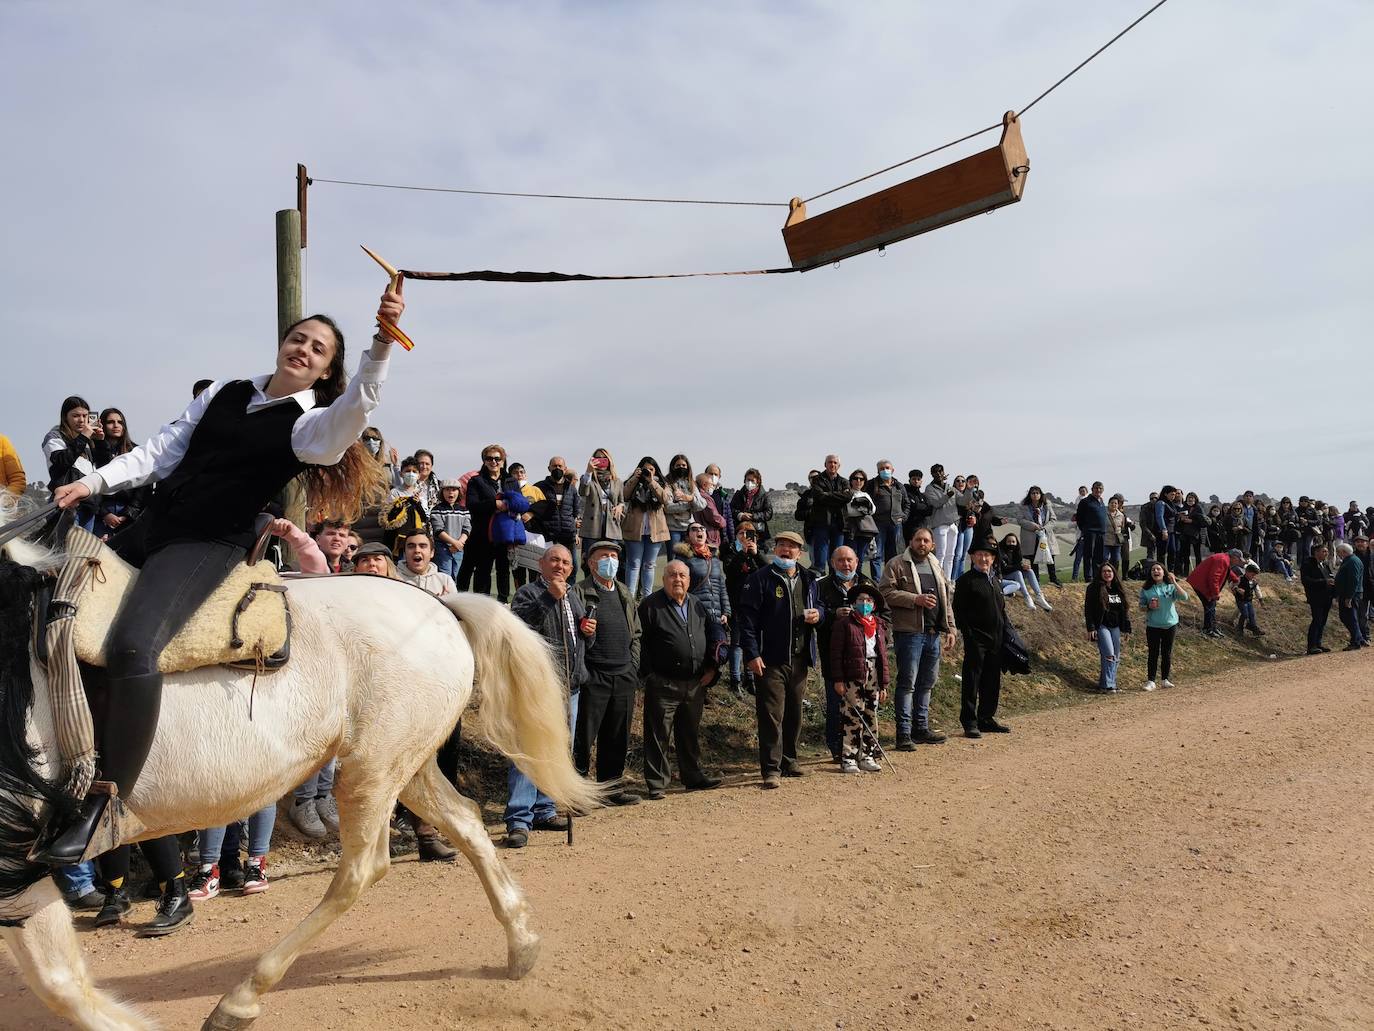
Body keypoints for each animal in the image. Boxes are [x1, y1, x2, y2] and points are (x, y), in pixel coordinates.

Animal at [0, 527, 601, 1028]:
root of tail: (440, 606)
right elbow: (61, 982)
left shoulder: (16, 859)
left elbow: (61, 985)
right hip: (402, 765)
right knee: (468, 823)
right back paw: (522, 945)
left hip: (370, 771)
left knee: (362, 869)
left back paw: (241, 997)